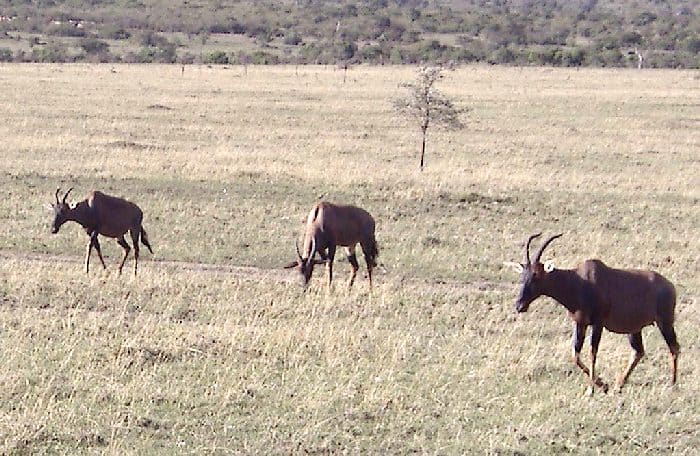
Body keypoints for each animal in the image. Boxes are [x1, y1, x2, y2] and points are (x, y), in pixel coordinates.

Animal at [506, 233, 680, 394]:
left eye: (536, 275)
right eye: (523, 275)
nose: (520, 306)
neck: (579, 281)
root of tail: (670, 285)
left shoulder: (598, 323)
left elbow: (592, 352)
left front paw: (591, 389)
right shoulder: (580, 323)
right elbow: (575, 354)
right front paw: (602, 384)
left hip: (665, 322)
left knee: (674, 347)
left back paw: (672, 384)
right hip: (634, 329)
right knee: (638, 352)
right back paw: (619, 385)